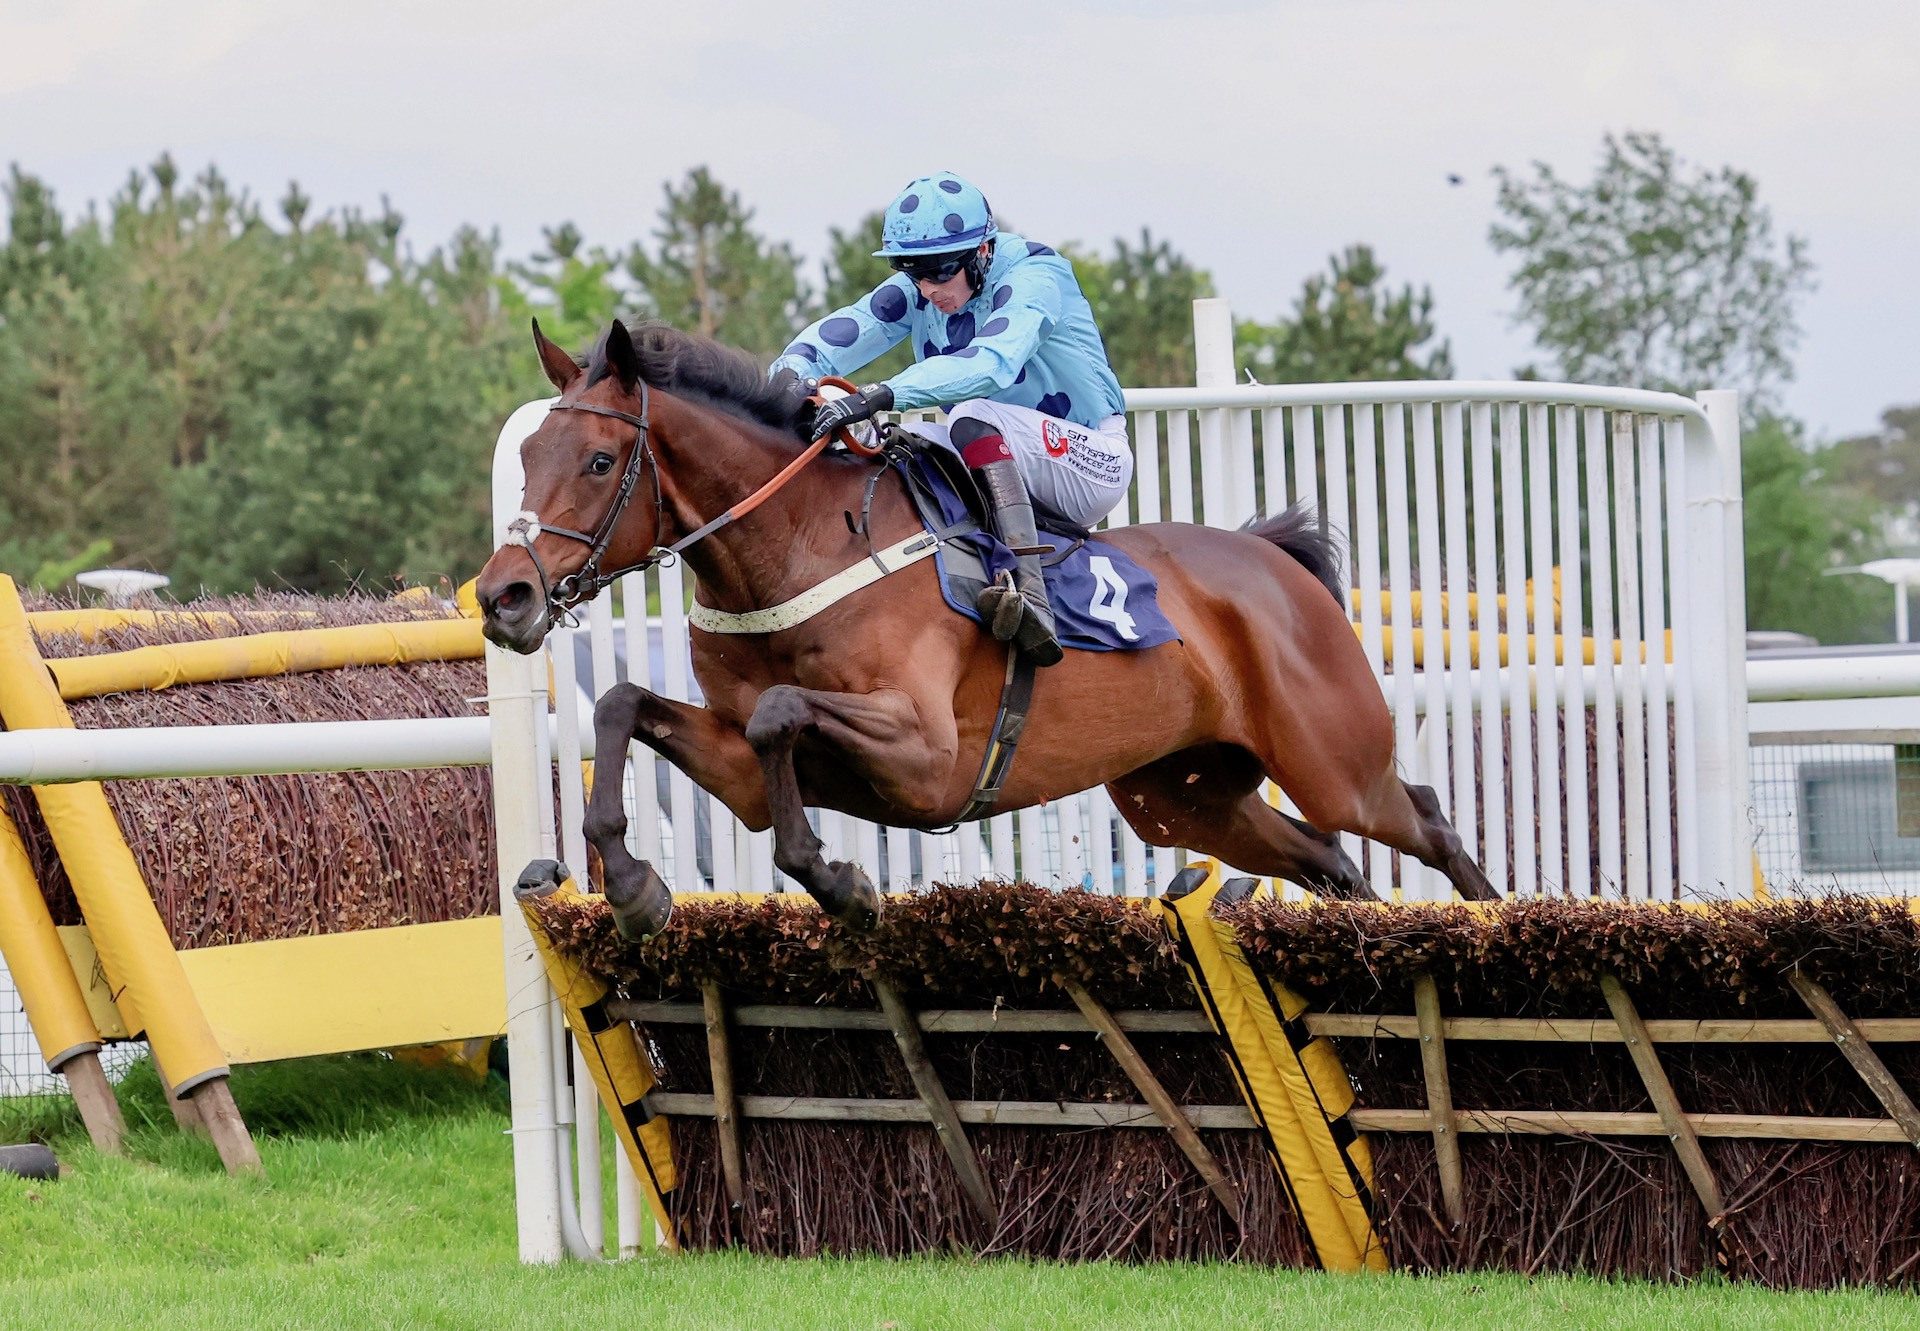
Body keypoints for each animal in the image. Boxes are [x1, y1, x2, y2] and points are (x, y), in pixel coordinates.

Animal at [472, 318, 1489, 933]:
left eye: (600, 460)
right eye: (528, 455)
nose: (504, 596)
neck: (798, 548)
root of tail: (1276, 562)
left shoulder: (925, 755)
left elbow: (779, 715)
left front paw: (838, 880)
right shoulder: (740, 771)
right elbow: (626, 703)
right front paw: (632, 884)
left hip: (1332, 762)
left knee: (1425, 819)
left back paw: (1492, 915)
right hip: (1185, 794)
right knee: (1326, 857)